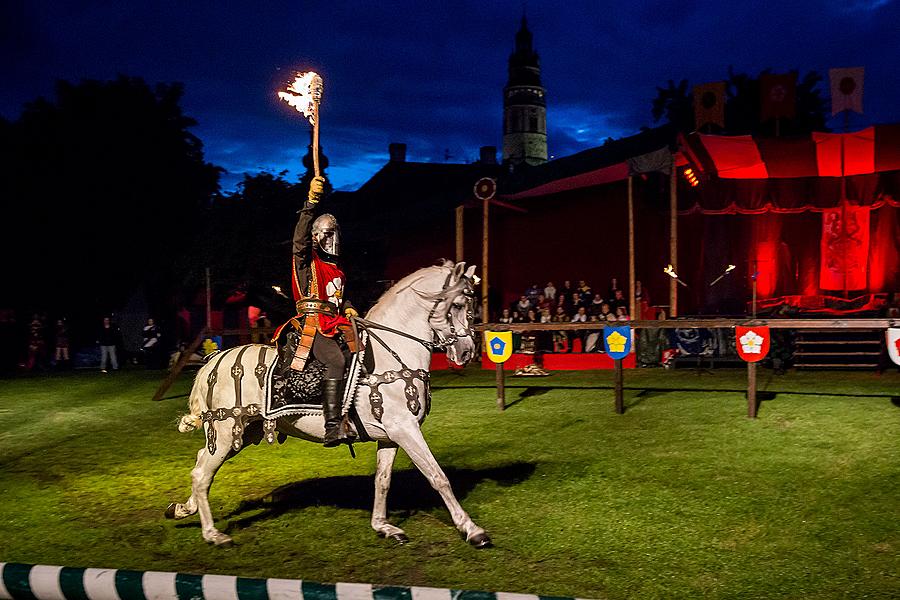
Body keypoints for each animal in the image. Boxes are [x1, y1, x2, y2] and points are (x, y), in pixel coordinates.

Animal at [169, 260, 492, 548]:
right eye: (459, 305)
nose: (466, 352)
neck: (391, 352)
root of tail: (213, 361)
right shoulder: (405, 429)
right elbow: (438, 477)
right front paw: (472, 530)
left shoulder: (391, 436)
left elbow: (383, 480)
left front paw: (383, 527)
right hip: (225, 431)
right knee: (201, 475)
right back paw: (213, 535)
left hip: (242, 433)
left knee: (201, 462)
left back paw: (184, 509)